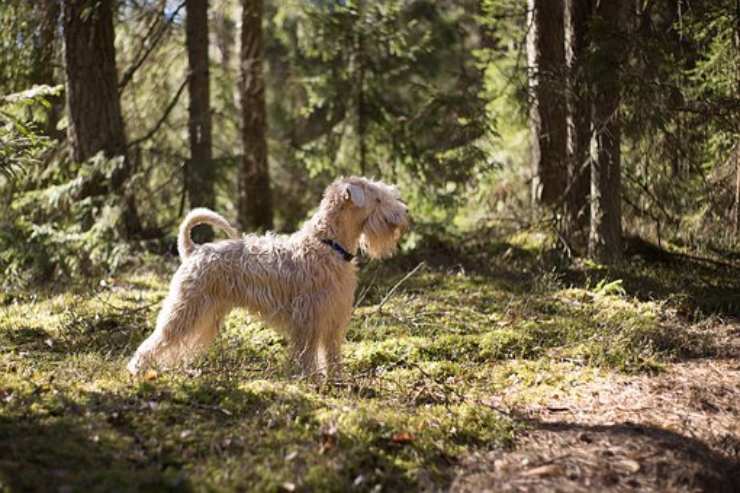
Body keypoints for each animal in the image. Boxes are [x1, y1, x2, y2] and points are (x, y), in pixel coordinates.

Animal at [124, 175, 408, 374]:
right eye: (378, 198)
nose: (405, 213)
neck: (329, 245)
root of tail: (194, 251)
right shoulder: (309, 320)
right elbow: (307, 356)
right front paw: (310, 380)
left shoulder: (333, 319)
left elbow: (332, 355)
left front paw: (337, 381)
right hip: (185, 309)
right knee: (158, 340)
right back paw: (137, 369)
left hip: (204, 314)